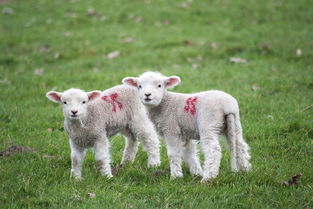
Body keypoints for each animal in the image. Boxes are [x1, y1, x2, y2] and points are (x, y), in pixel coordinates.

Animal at [122, 72, 251, 183]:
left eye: (159, 85)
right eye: (139, 86)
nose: (147, 95)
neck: (164, 104)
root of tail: (228, 106)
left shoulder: (171, 129)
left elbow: (173, 153)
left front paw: (176, 176)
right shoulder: (185, 133)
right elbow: (189, 153)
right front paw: (196, 172)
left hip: (208, 124)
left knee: (213, 150)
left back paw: (208, 178)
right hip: (234, 124)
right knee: (240, 146)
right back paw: (245, 170)